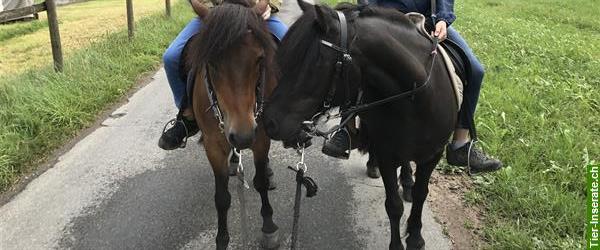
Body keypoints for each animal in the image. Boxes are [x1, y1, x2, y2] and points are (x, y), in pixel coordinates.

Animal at [186, 0, 280, 248]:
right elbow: (222, 198)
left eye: (259, 59)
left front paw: (269, 226)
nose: (243, 135)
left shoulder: (261, 137)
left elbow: (260, 182)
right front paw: (221, 239)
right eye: (211, 62)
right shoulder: (213, 145)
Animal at [264, 2, 458, 250]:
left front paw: (415, 237)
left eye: (314, 64)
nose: (269, 121)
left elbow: (421, 194)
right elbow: (393, 205)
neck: (416, 99)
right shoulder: (387, 154)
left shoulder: (433, 155)